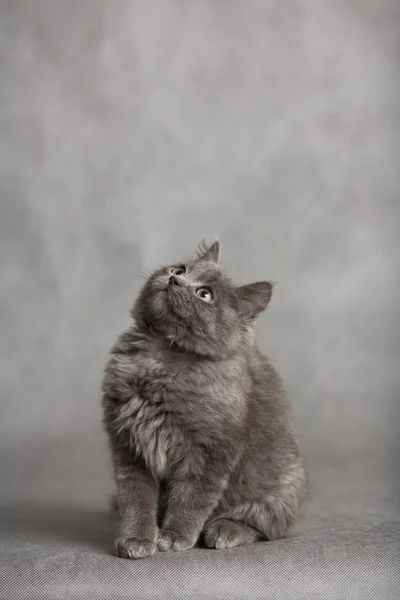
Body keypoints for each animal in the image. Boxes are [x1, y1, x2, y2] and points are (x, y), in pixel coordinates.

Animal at [101, 239, 306, 556]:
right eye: (179, 269)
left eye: (205, 294)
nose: (174, 280)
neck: (160, 356)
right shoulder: (129, 446)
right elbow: (136, 497)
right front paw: (136, 538)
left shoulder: (210, 450)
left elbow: (192, 496)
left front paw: (175, 535)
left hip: (279, 486)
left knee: (267, 527)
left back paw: (224, 530)